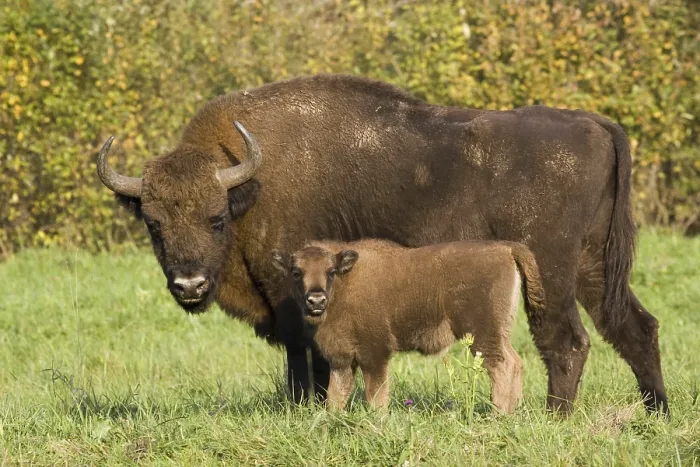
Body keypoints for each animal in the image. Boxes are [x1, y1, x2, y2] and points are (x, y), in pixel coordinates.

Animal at [270, 239, 545, 413]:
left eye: (330, 271)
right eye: (296, 272)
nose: (316, 300)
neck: (345, 285)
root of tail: (505, 248)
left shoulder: (375, 354)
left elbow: (376, 395)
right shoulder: (341, 360)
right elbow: (335, 396)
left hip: (482, 334)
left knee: (502, 366)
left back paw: (497, 415)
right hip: (499, 333)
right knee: (515, 363)